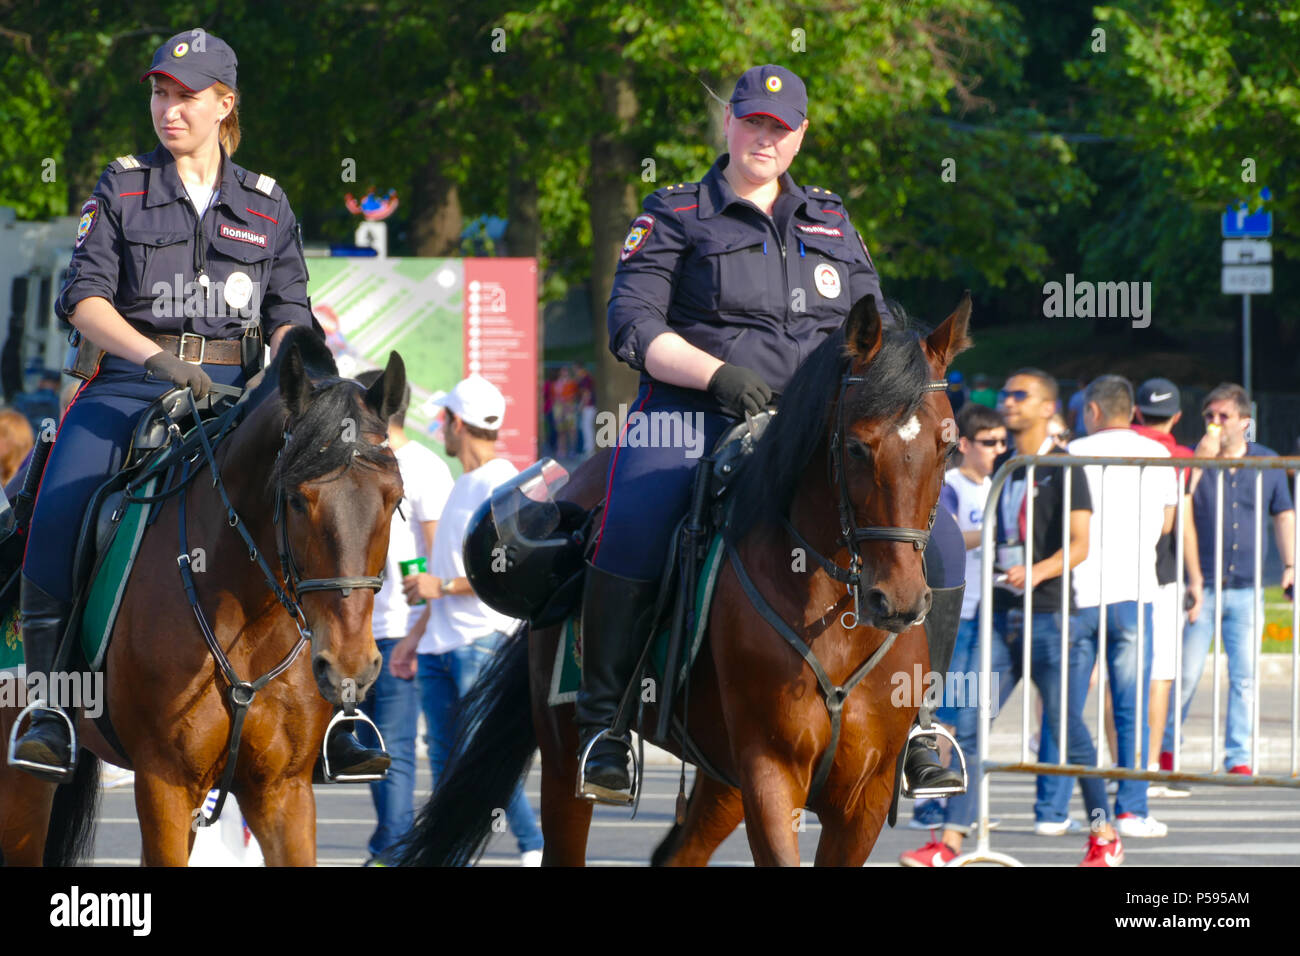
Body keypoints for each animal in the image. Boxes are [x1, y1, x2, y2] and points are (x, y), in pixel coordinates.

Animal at [0, 330, 403, 868]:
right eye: (297, 499)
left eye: (394, 499)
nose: (349, 668)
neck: (249, 619)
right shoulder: (165, 784)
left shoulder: (282, 790)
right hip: (20, 784)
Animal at [400, 293, 972, 868]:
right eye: (855, 447)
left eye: (948, 448)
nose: (897, 601)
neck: (833, 616)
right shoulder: (770, 772)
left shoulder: (863, 797)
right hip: (565, 760)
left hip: (721, 782)